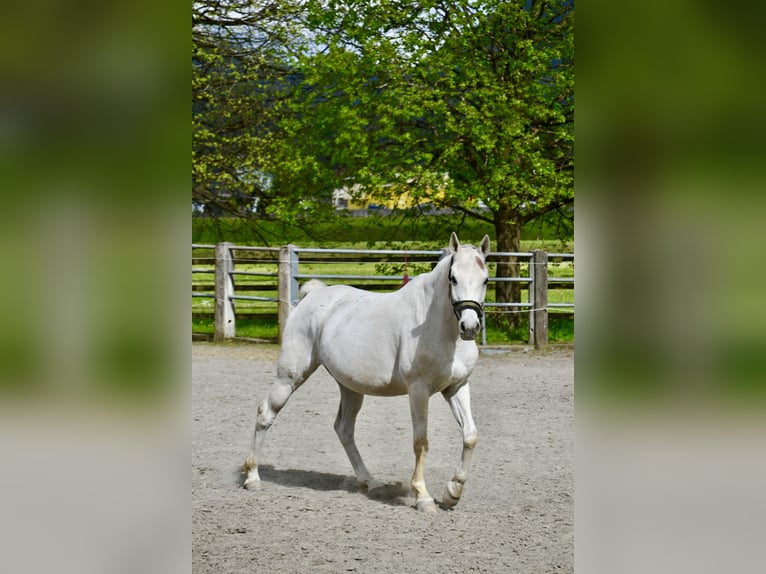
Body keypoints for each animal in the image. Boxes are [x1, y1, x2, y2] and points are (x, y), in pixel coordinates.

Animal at [243, 233, 492, 512]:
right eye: (453, 278)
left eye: (485, 279)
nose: (469, 327)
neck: (440, 327)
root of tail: (313, 295)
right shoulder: (418, 390)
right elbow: (421, 442)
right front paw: (423, 497)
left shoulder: (456, 387)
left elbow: (470, 435)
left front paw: (452, 493)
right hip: (289, 377)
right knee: (266, 413)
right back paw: (252, 477)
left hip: (350, 388)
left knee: (344, 429)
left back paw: (370, 482)